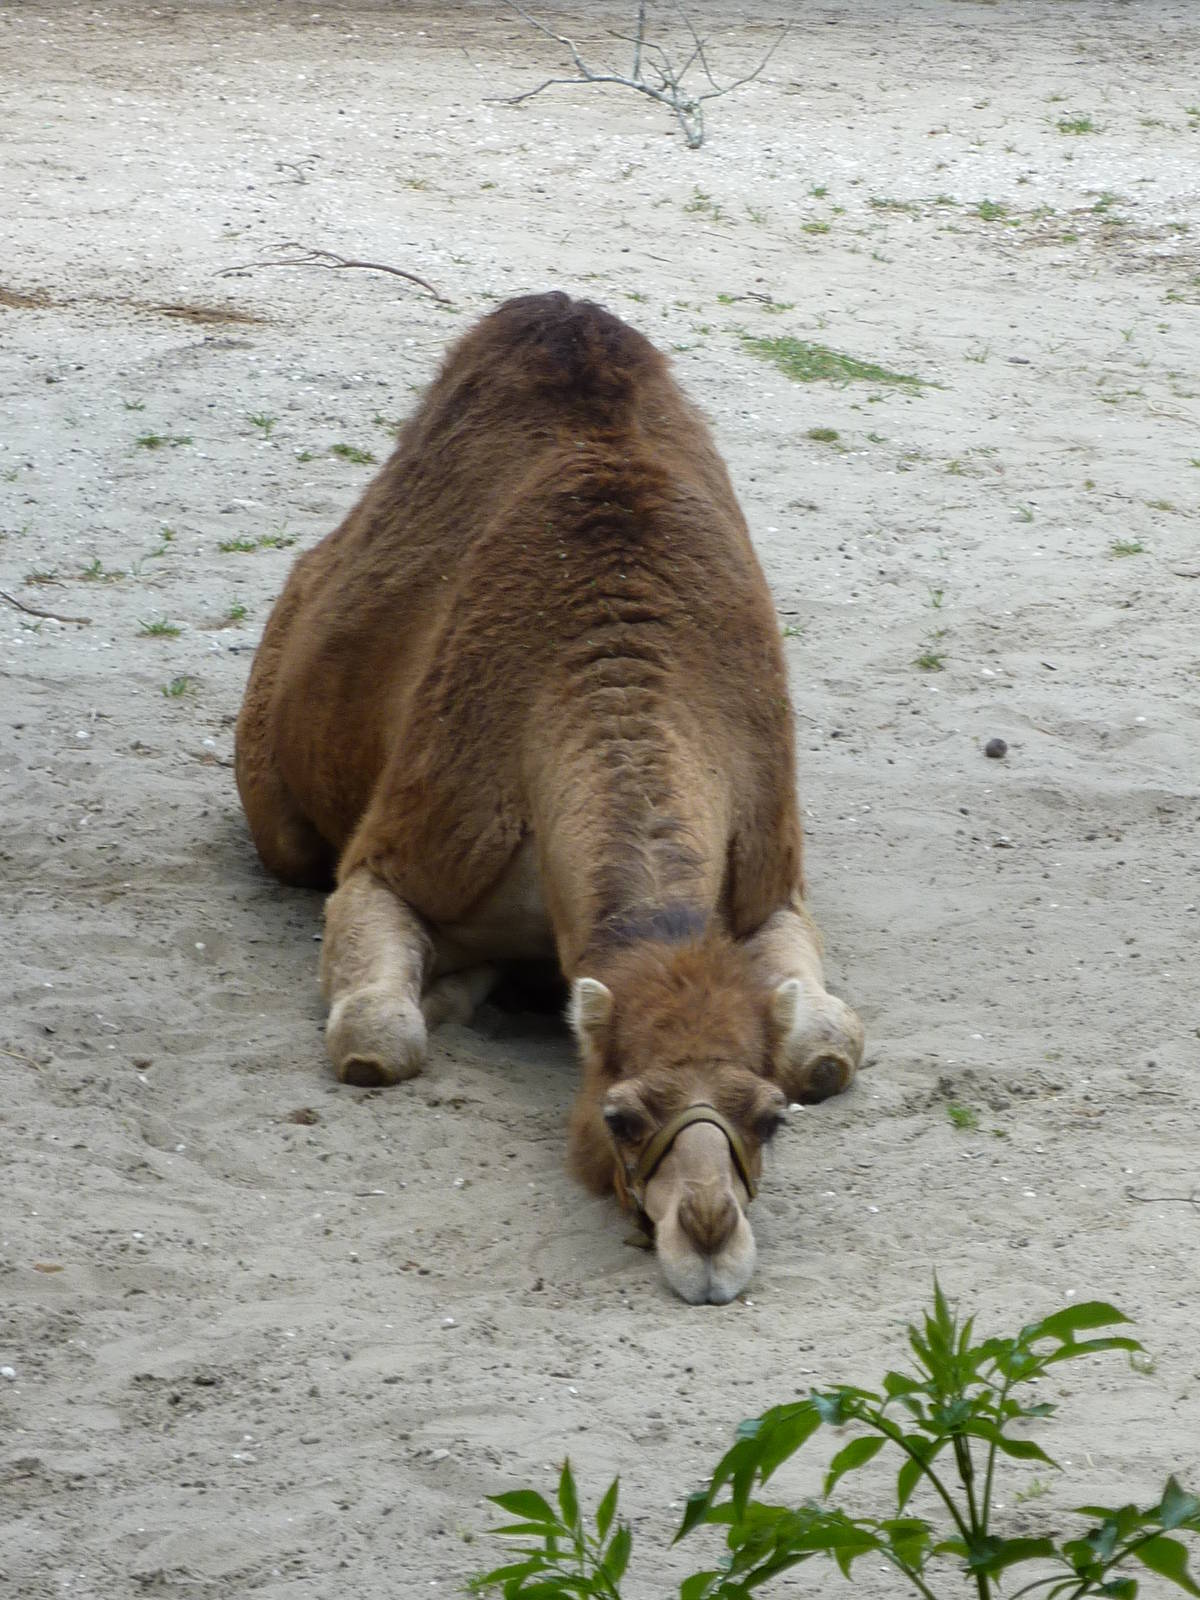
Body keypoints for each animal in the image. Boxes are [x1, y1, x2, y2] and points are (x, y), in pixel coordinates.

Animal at [235, 292, 864, 1304]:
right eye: (619, 1114)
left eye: (769, 1119)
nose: (708, 1238)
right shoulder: (397, 855)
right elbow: (378, 1037)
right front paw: (457, 990)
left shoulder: (769, 876)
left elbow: (826, 1046)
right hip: (278, 803)